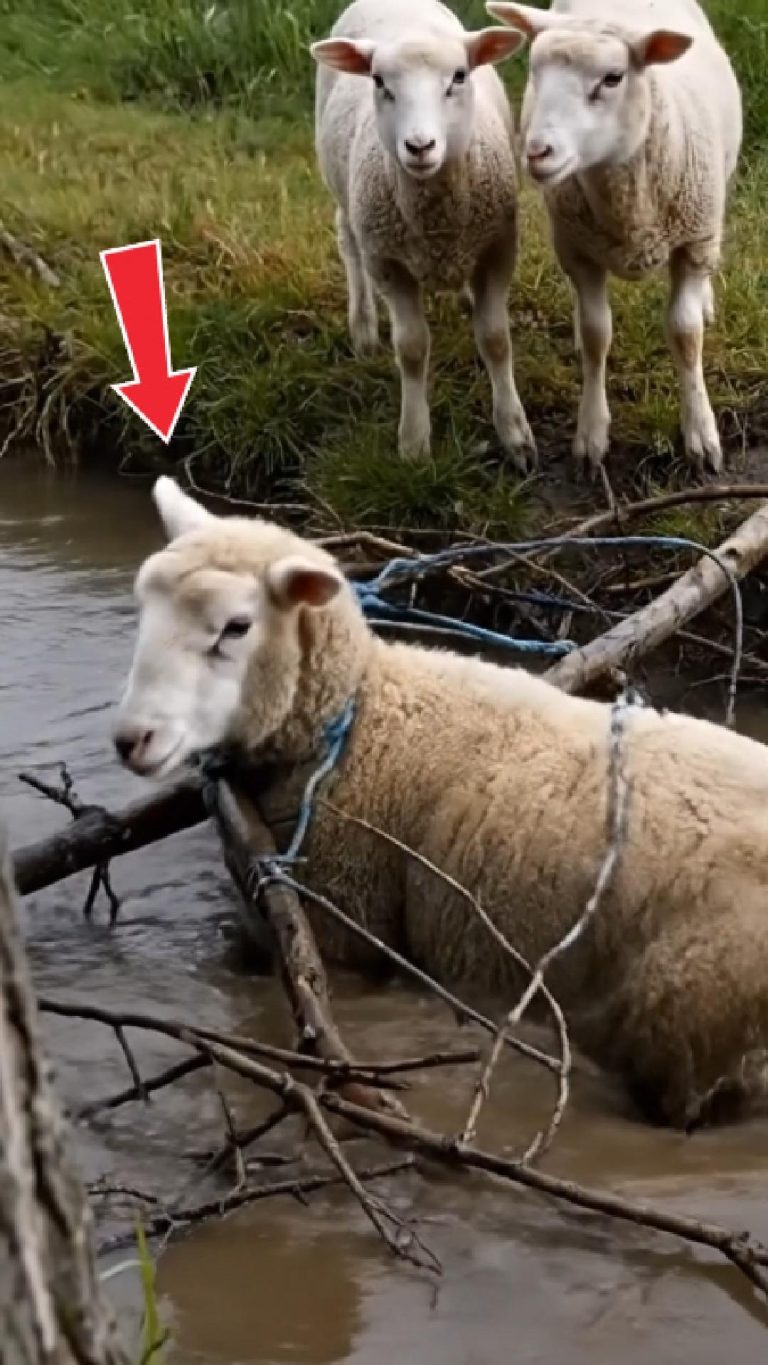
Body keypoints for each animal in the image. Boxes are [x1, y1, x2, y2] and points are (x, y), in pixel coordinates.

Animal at [311, 0, 537, 471]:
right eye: (379, 81)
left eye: (459, 76)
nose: (419, 147)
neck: (437, 221)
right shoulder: (387, 262)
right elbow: (412, 349)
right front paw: (414, 443)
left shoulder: (498, 247)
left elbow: (495, 339)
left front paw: (514, 432)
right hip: (345, 193)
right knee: (348, 243)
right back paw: (363, 328)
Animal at [486, 0, 743, 476]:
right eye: (534, 70)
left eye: (612, 78)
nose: (537, 152)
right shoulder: (579, 251)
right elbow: (595, 336)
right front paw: (591, 434)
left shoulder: (693, 238)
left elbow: (686, 335)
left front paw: (700, 433)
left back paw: (705, 300)